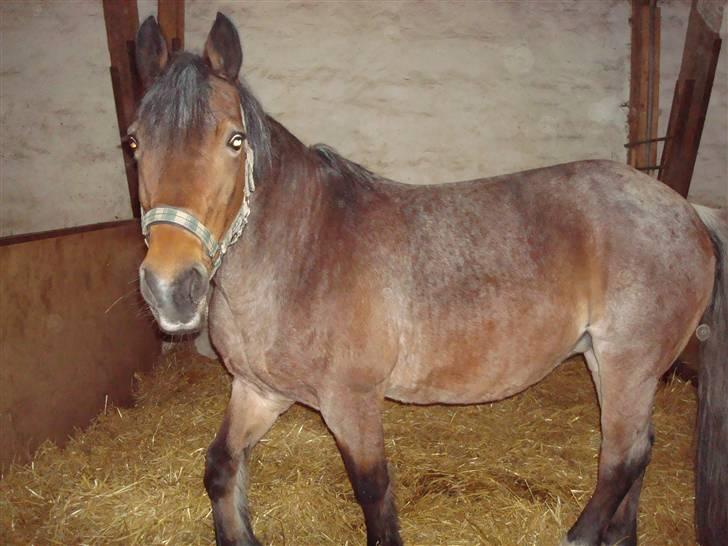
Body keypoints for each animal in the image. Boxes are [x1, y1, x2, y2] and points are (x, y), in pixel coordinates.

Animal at [132, 11, 728, 544]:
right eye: (135, 141)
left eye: (235, 140)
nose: (170, 288)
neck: (302, 255)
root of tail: (688, 210)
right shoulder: (258, 390)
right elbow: (221, 469)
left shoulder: (350, 402)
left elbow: (374, 496)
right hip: (610, 365)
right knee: (638, 455)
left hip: (628, 366)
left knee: (621, 461)